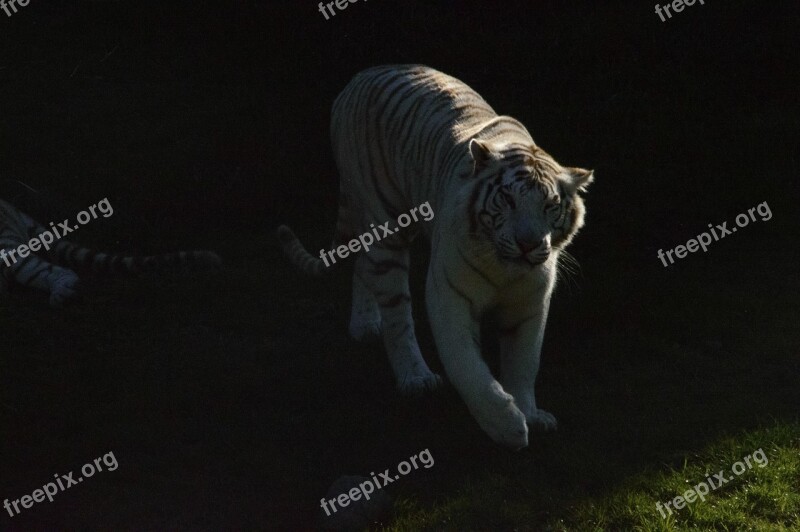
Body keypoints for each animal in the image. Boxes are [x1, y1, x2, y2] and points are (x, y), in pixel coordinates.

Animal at [278, 65, 592, 448]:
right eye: (508, 200)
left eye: (550, 206)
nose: (528, 244)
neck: (504, 269)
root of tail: (363, 74)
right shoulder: (450, 294)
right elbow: (466, 364)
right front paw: (506, 425)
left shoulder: (531, 303)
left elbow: (524, 362)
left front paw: (530, 413)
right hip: (385, 224)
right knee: (396, 312)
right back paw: (415, 377)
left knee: (363, 264)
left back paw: (365, 324)